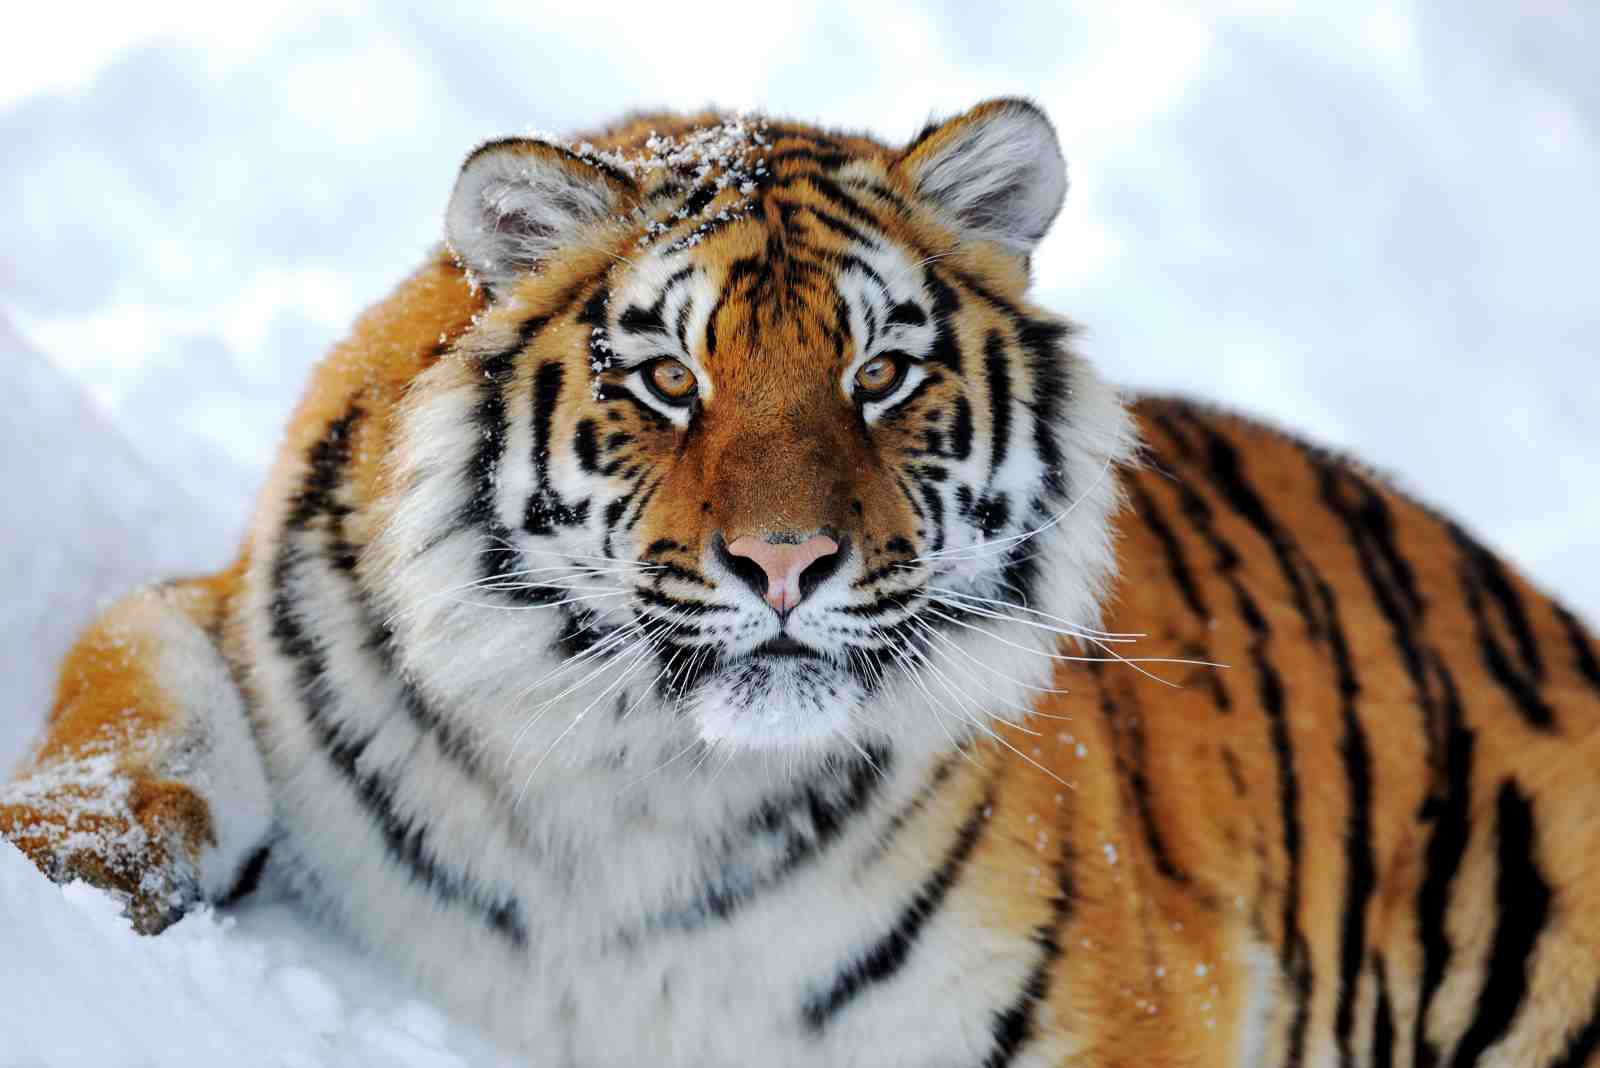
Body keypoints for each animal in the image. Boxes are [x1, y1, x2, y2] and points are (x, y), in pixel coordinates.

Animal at [3, 95, 1598, 1067]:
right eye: (667, 378)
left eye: (878, 374)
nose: (787, 563)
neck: (645, 788)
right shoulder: (229, 612)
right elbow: (136, 704)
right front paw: (69, 885)